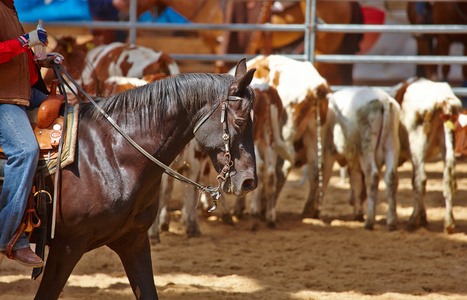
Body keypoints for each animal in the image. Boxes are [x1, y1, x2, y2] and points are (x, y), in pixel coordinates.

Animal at [390, 76, 462, 233]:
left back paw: (412, 221)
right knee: (448, 181)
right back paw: (449, 223)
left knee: (421, 180)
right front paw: (423, 217)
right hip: (447, 142)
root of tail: (442, 100)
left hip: (417, 145)